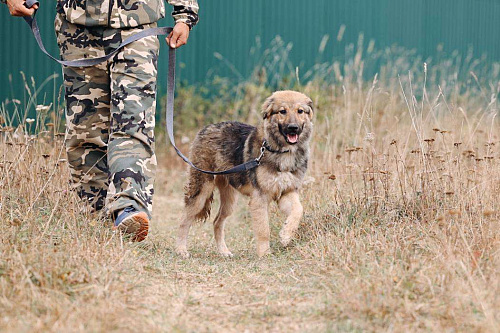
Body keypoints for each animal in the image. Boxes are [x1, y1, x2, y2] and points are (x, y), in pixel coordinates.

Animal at [176, 91, 312, 256]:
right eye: (282, 111)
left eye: (300, 111)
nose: (293, 128)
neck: (282, 152)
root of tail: (207, 128)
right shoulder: (259, 198)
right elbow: (263, 229)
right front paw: (264, 254)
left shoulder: (286, 192)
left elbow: (298, 210)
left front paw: (286, 235)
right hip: (201, 191)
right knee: (184, 219)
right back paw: (181, 250)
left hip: (229, 201)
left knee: (217, 222)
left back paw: (223, 251)